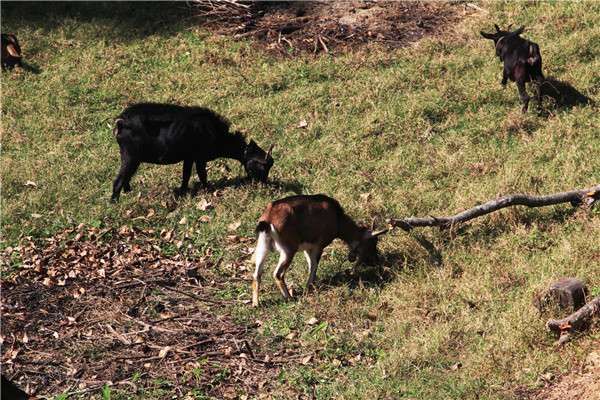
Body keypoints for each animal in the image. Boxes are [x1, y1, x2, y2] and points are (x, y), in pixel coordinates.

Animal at [110, 103, 274, 203]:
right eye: (263, 167)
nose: (263, 185)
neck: (215, 133)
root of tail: (121, 122)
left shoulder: (189, 157)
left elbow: (186, 174)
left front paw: (183, 191)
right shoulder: (200, 157)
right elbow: (202, 174)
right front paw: (207, 189)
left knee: (127, 176)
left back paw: (128, 192)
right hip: (131, 154)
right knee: (119, 179)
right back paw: (114, 203)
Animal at [250, 194, 386, 306]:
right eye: (372, 243)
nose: (375, 261)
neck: (337, 219)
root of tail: (268, 220)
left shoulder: (307, 248)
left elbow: (311, 264)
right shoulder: (319, 244)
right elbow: (314, 265)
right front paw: (310, 286)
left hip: (263, 246)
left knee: (257, 274)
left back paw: (256, 304)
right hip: (289, 249)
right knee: (277, 273)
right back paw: (289, 298)